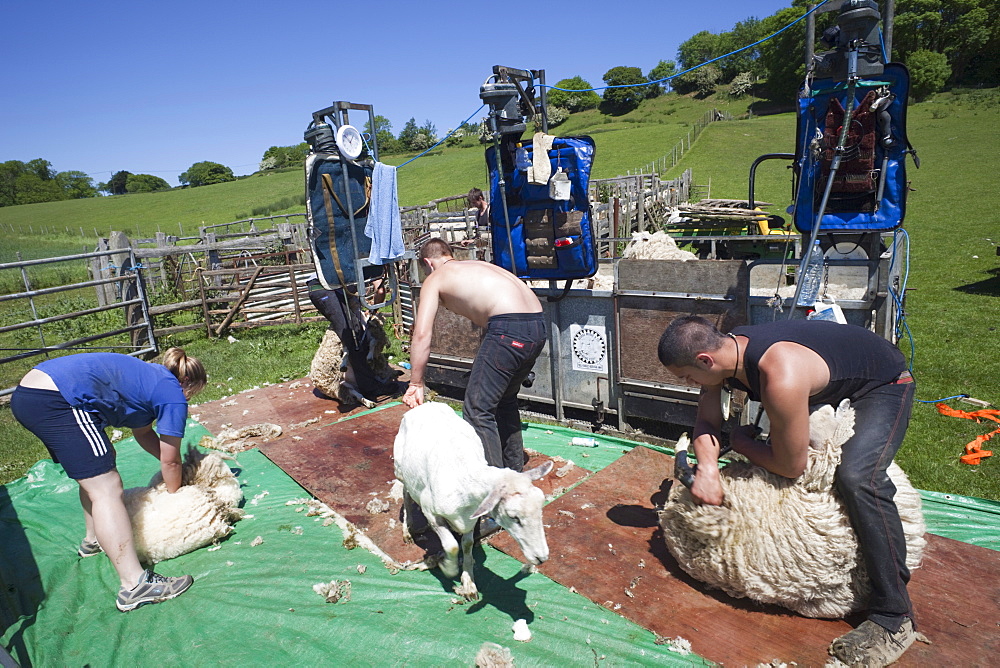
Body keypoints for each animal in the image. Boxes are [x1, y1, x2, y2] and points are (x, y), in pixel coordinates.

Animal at [392, 402, 556, 600]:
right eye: (513, 516)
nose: (542, 558)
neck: (464, 477)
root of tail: (426, 404)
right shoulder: (431, 512)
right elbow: (452, 546)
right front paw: (447, 568)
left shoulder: (471, 517)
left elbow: (467, 545)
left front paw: (469, 582)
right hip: (401, 472)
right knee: (406, 494)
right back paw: (407, 530)